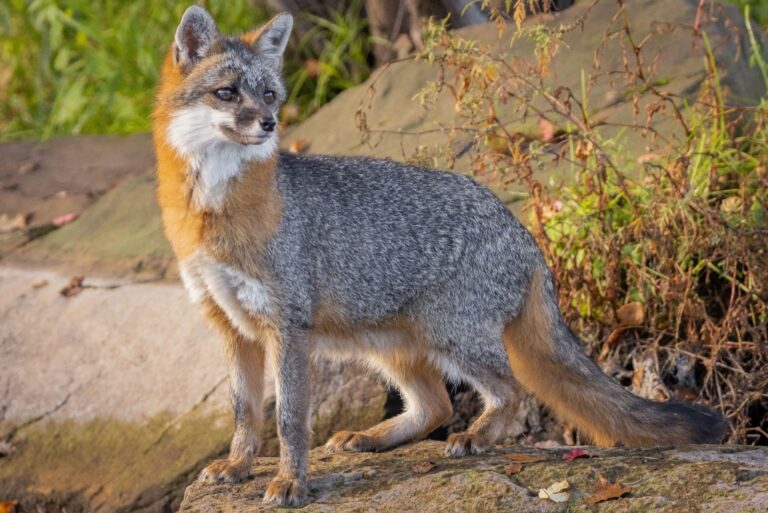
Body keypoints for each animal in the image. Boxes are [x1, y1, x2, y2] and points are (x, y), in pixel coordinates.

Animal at [152, 6, 727, 506]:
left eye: (270, 94)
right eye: (227, 93)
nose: (269, 123)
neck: (213, 212)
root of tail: (523, 233)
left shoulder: (286, 326)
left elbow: (288, 419)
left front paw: (291, 483)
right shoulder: (232, 327)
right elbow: (245, 414)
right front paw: (239, 467)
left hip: (449, 337)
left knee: (510, 391)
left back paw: (476, 437)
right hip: (390, 346)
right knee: (436, 405)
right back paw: (373, 437)